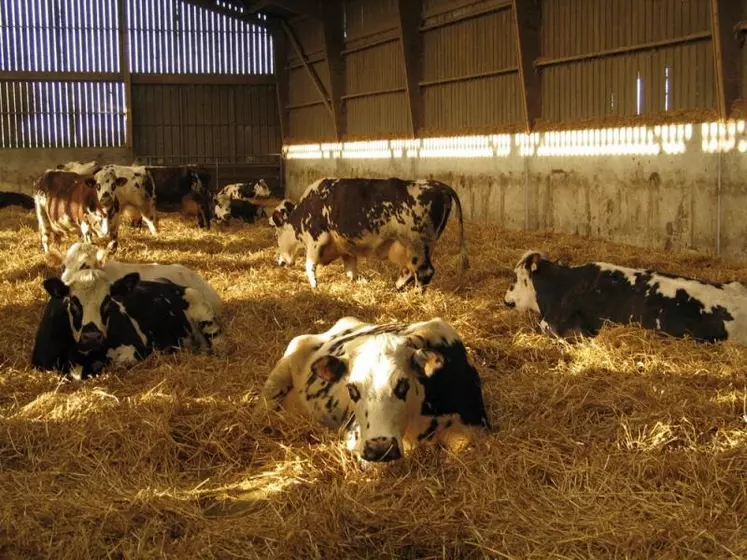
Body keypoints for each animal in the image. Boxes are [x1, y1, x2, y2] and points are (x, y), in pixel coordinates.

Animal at [268, 179, 468, 290]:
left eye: (277, 234)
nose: (279, 261)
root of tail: (437, 185)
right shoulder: (345, 247)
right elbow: (351, 271)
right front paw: (359, 282)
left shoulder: (316, 240)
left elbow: (309, 265)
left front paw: (314, 286)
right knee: (409, 270)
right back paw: (398, 287)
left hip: (418, 245)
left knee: (424, 272)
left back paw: (417, 295)